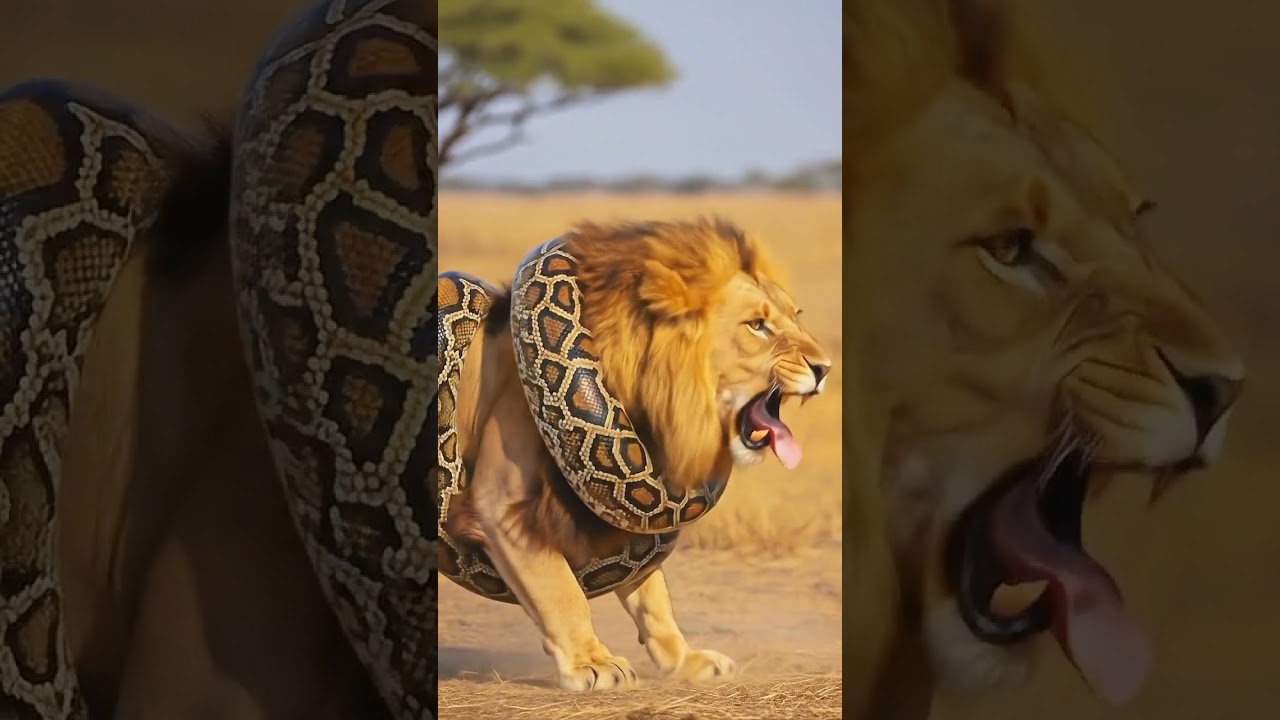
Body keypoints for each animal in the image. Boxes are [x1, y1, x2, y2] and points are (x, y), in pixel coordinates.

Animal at [447, 218, 833, 690]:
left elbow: (653, 597)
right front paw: (590, 662)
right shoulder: (501, 503)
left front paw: (684, 660)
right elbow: (562, 591)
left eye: (796, 316)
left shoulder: (639, 527)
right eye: (757, 325)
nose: (825, 368)